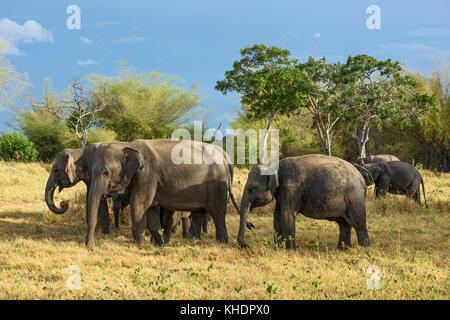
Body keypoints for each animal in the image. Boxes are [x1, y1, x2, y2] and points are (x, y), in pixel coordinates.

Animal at [82, 139, 248, 249]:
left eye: (106, 172)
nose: (90, 247)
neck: (127, 145)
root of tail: (226, 159)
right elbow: (150, 211)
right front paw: (160, 245)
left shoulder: (147, 174)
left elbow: (140, 205)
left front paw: (139, 245)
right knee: (199, 214)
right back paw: (193, 242)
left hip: (217, 186)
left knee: (218, 214)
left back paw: (222, 243)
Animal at [237, 155, 370, 250]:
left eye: (251, 189)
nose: (247, 246)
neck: (274, 166)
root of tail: (362, 179)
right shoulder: (282, 192)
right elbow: (277, 215)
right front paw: (278, 249)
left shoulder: (291, 189)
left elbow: (287, 215)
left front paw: (290, 251)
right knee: (343, 223)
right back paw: (341, 249)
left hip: (355, 197)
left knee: (358, 222)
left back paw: (364, 248)